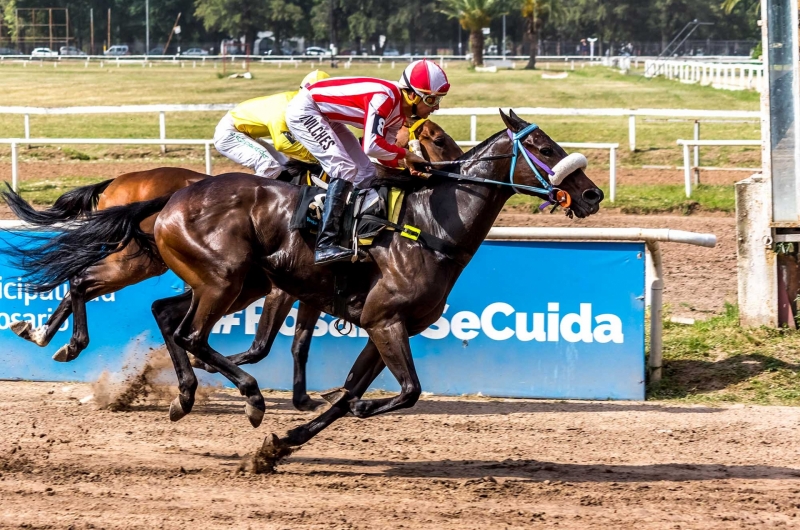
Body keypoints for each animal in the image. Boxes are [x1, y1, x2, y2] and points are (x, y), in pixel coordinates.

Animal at [1, 118, 462, 408]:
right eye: (438, 139)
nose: (452, 168)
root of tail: (120, 180)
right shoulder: (283, 287)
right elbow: (264, 345)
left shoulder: (310, 287)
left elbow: (298, 342)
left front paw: (304, 397)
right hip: (142, 261)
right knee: (83, 280)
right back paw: (64, 341)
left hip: (148, 262)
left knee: (83, 280)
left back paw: (46, 336)